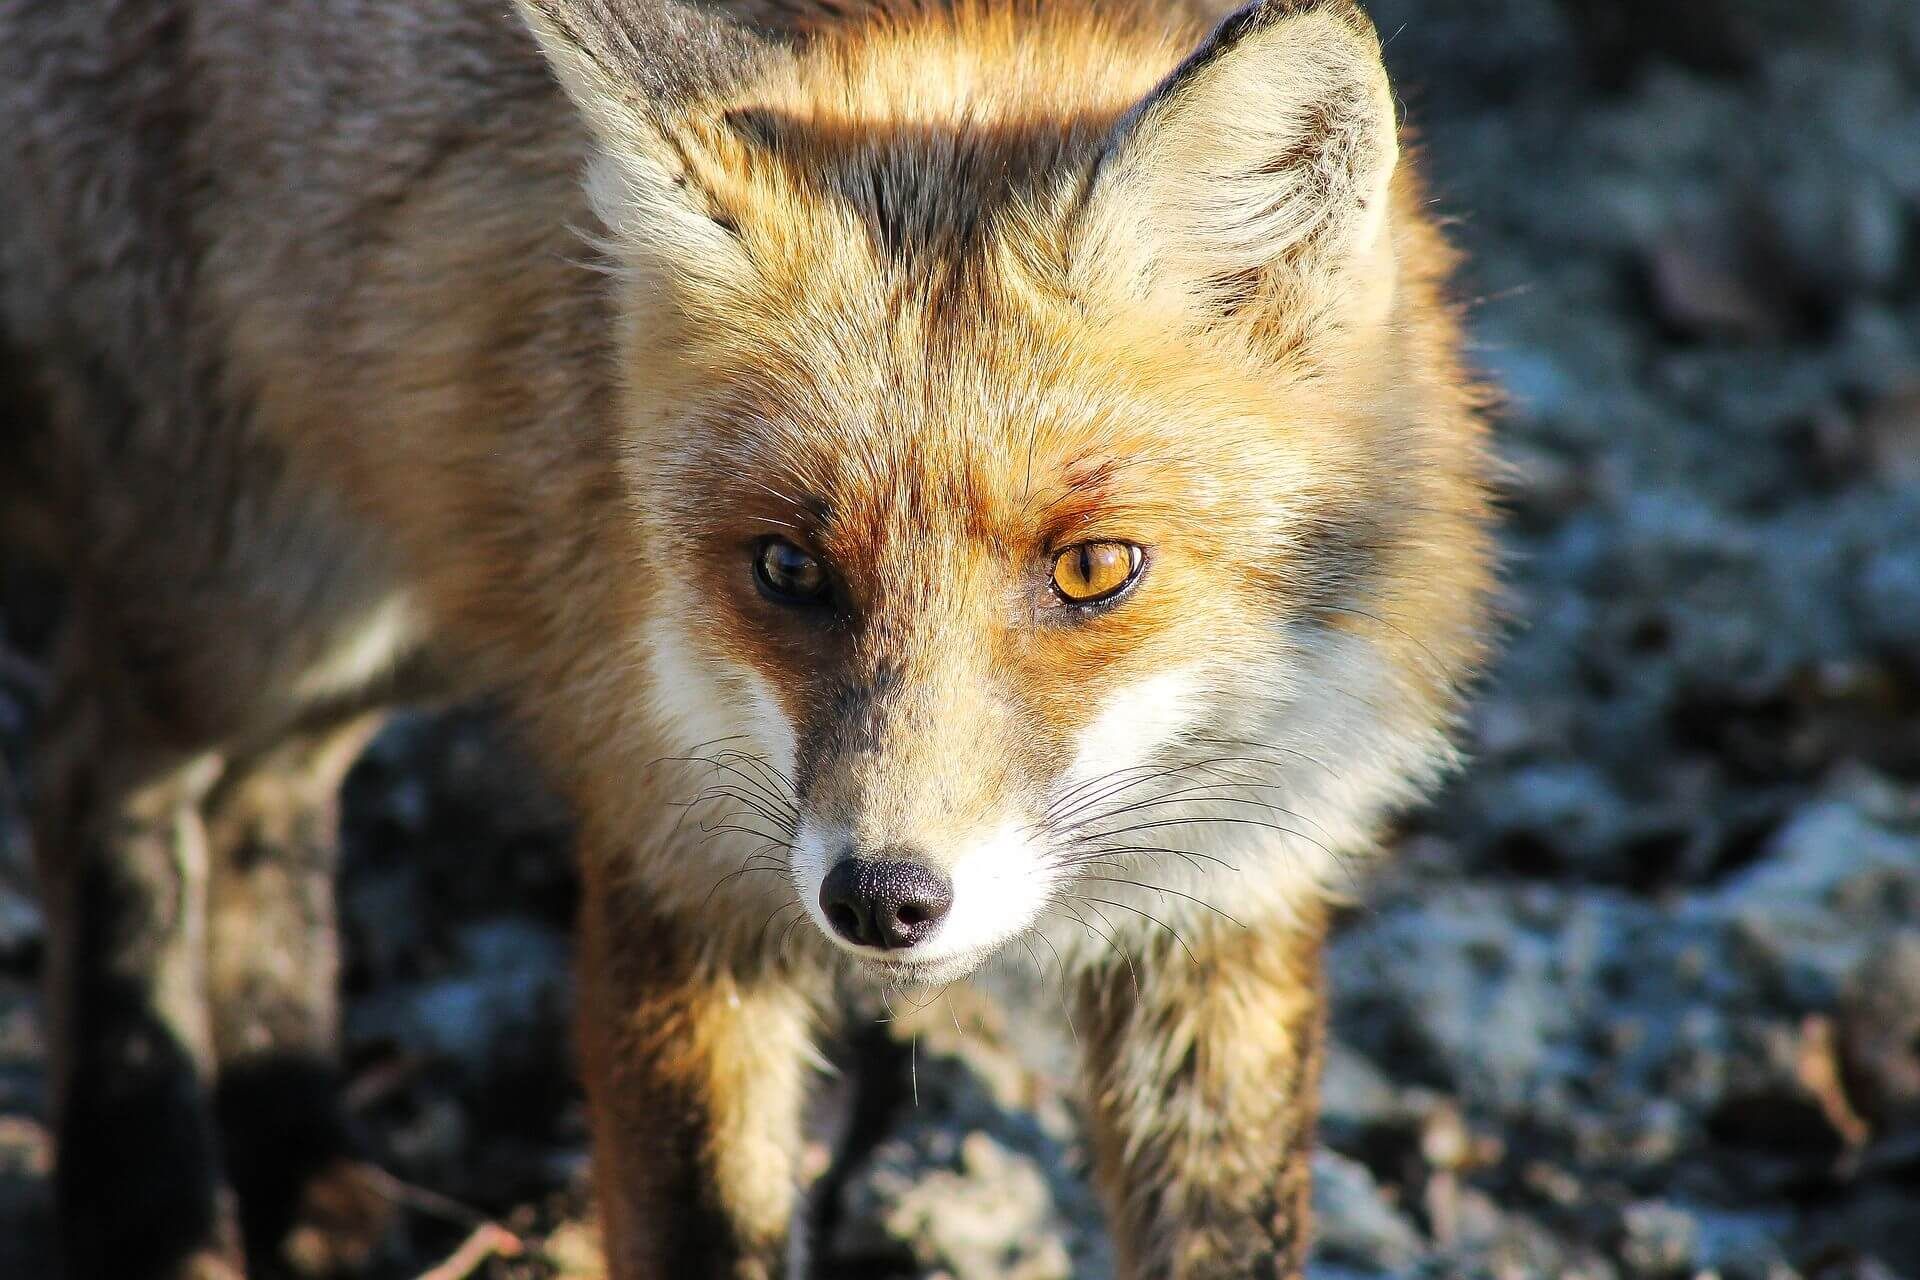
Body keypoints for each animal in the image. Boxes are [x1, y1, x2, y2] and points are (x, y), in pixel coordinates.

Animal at [0, 0, 1489, 1274]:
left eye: (1094, 568)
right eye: (787, 568)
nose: (882, 899)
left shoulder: (1230, 909)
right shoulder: (675, 862)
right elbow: (704, 1227)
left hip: (418, 594)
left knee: (266, 802)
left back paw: (300, 1153)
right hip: (258, 609)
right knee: (93, 775)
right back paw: (149, 1206)